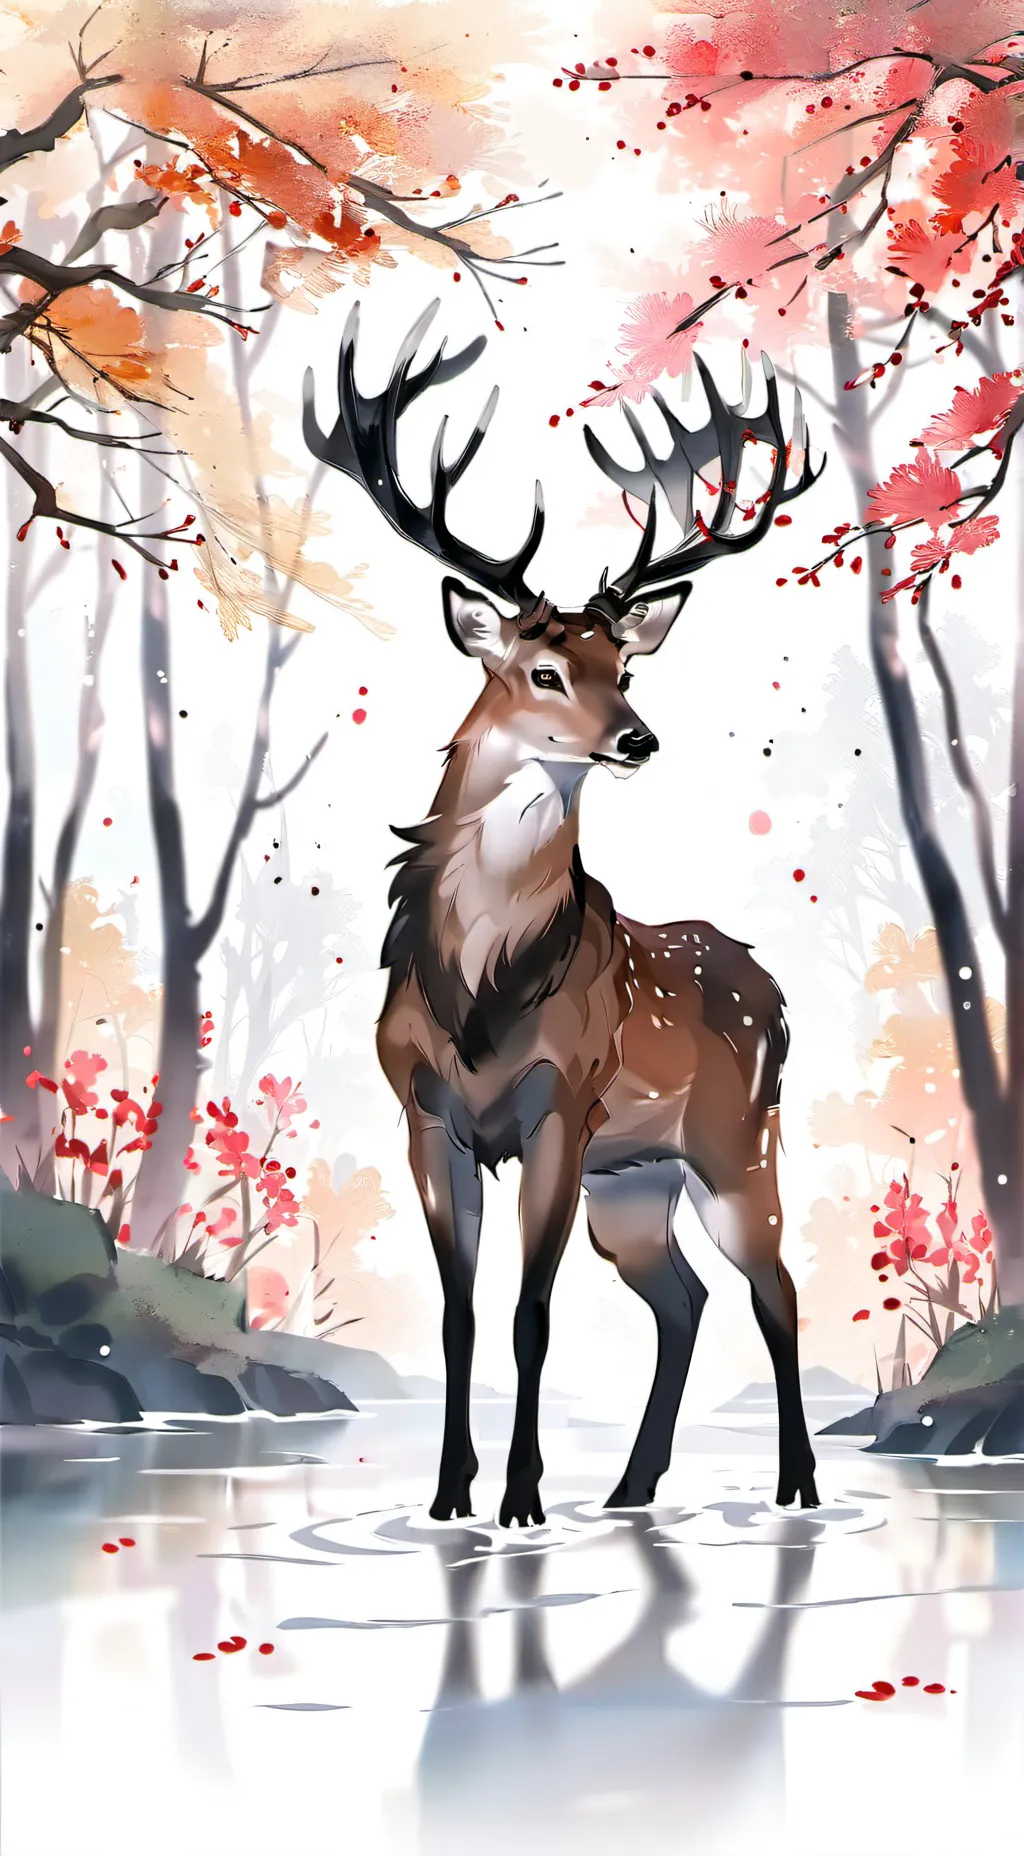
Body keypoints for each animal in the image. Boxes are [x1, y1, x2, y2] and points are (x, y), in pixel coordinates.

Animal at [304, 301, 824, 1528]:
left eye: (625, 667)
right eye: (543, 669)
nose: (637, 737)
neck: (481, 988)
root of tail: (774, 991)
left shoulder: (562, 1103)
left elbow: (530, 1316)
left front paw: (522, 1498)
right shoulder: (425, 1111)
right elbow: (458, 1314)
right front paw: (451, 1493)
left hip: (733, 1141)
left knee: (775, 1288)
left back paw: (795, 1480)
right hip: (632, 1179)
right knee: (681, 1297)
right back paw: (631, 1485)